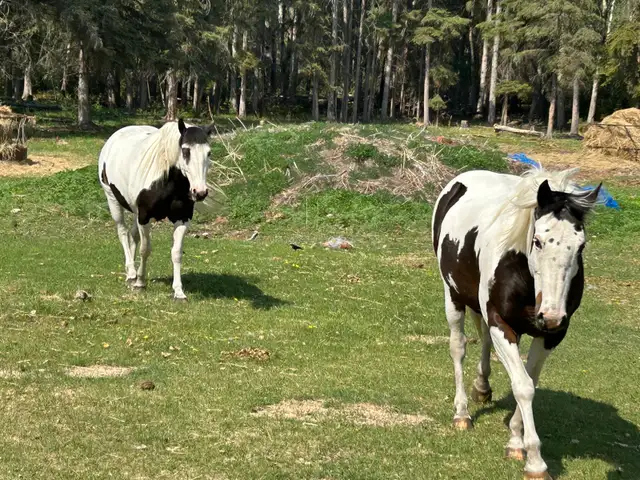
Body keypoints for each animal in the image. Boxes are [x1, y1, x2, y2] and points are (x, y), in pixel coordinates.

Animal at [99, 119, 214, 300]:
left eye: (208, 153)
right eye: (185, 150)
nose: (200, 192)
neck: (166, 181)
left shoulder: (182, 219)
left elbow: (176, 253)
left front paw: (178, 291)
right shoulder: (144, 217)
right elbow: (145, 250)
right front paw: (140, 282)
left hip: (135, 212)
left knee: (132, 236)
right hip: (113, 201)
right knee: (123, 233)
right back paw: (131, 274)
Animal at [432, 167, 601, 479]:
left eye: (580, 246)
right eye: (538, 241)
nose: (551, 315)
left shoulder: (550, 336)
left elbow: (529, 381)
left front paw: (515, 440)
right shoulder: (501, 323)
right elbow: (523, 386)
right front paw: (535, 462)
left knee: (484, 342)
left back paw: (482, 387)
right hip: (453, 297)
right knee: (458, 348)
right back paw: (462, 413)